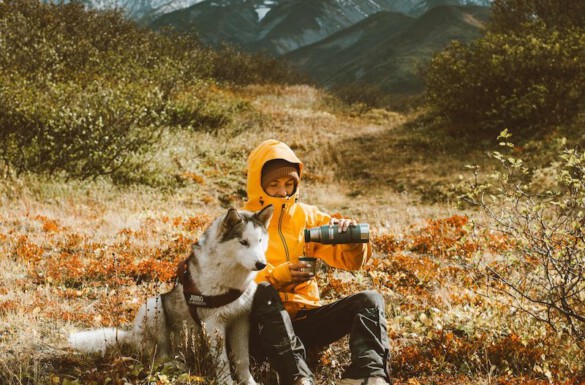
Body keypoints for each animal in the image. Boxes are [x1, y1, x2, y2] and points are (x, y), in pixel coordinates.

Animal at [69, 206, 274, 384]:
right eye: (243, 242)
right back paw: (175, 364)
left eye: (260, 241)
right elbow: (223, 362)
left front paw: (249, 382)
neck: (232, 279)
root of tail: (131, 335)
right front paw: (227, 382)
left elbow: (242, 360)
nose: (261, 264)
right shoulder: (214, 324)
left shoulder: (240, 320)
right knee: (158, 356)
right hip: (154, 306)